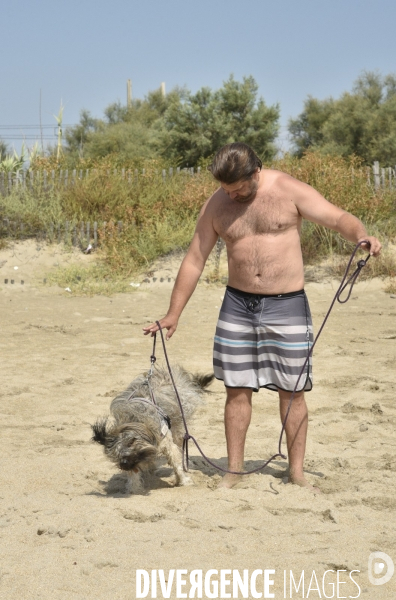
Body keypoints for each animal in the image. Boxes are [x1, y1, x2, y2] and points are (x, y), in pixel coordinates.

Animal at [91, 364, 213, 494]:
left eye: (131, 443)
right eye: (114, 454)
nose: (123, 464)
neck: (135, 419)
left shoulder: (165, 441)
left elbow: (176, 462)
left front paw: (183, 480)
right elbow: (134, 473)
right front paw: (134, 489)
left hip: (179, 422)